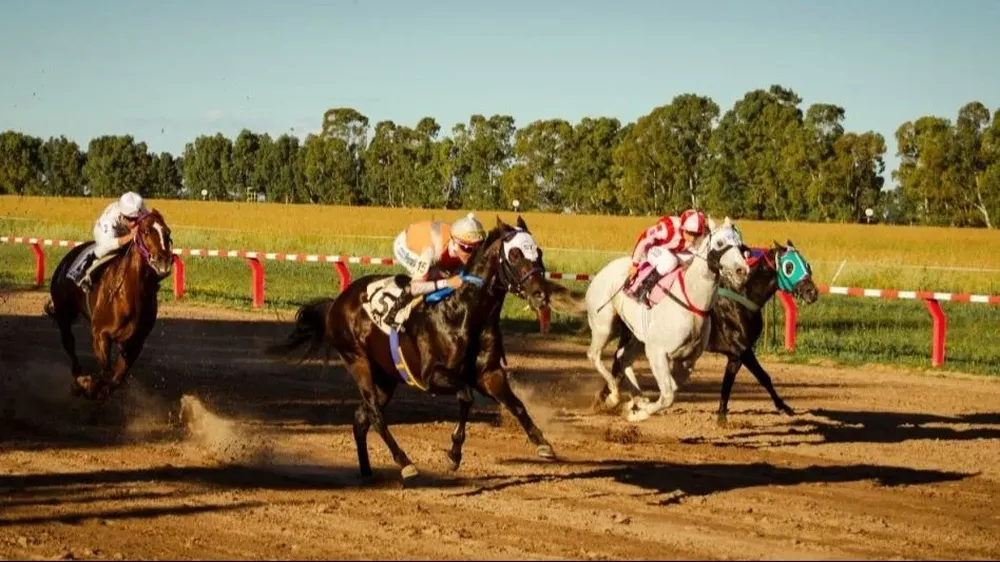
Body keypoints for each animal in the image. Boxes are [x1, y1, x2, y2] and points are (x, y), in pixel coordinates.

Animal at [44, 209, 175, 402]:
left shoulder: (136, 341)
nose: (163, 261)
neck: (130, 294)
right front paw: (88, 386)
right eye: (146, 232)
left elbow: (116, 378)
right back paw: (79, 377)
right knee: (68, 343)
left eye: (167, 232)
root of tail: (66, 260)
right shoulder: (100, 334)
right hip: (63, 312)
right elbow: (105, 371)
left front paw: (99, 390)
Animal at [267, 216, 559, 484]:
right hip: (357, 361)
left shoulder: (489, 374)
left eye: (539, 251)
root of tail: (337, 302)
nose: (540, 295)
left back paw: (367, 473)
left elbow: (517, 405)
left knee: (361, 418)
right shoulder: (432, 377)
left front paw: (543, 443)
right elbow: (466, 397)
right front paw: (453, 455)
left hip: (385, 377)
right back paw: (405, 463)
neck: (464, 312)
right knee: (375, 415)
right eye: (515, 253)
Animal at [585, 217, 750, 422]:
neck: (690, 301)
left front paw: (636, 408)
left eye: (740, 244)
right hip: (605, 326)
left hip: (637, 336)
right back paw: (614, 395)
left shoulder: (687, 360)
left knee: (623, 358)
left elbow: (673, 388)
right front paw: (638, 412)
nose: (742, 270)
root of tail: (601, 273)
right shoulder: (657, 352)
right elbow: (667, 396)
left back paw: (635, 398)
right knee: (594, 355)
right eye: (720, 243)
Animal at [608, 240, 820, 426]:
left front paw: (721, 416)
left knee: (621, 359)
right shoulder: (742, 348)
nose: (812, 292)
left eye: (807, 264)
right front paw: (784, 407)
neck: (742, 298)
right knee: (618, 360)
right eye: (790, 266)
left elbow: (727, 383)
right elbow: (763, 376)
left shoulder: (736, 355)